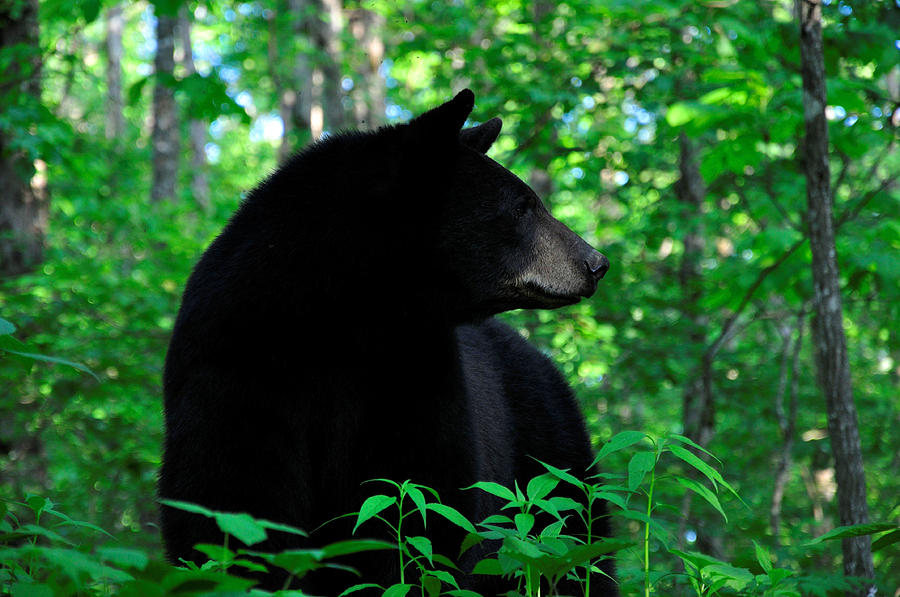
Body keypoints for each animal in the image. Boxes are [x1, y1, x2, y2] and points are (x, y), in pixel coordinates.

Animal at [158, 91, 616, 592]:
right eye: (521, 207)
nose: (596, 263)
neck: (345, 318)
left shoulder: (413, 370)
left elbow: (414, 510)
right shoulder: (236, 366)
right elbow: (233, 509)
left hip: (551, 454)